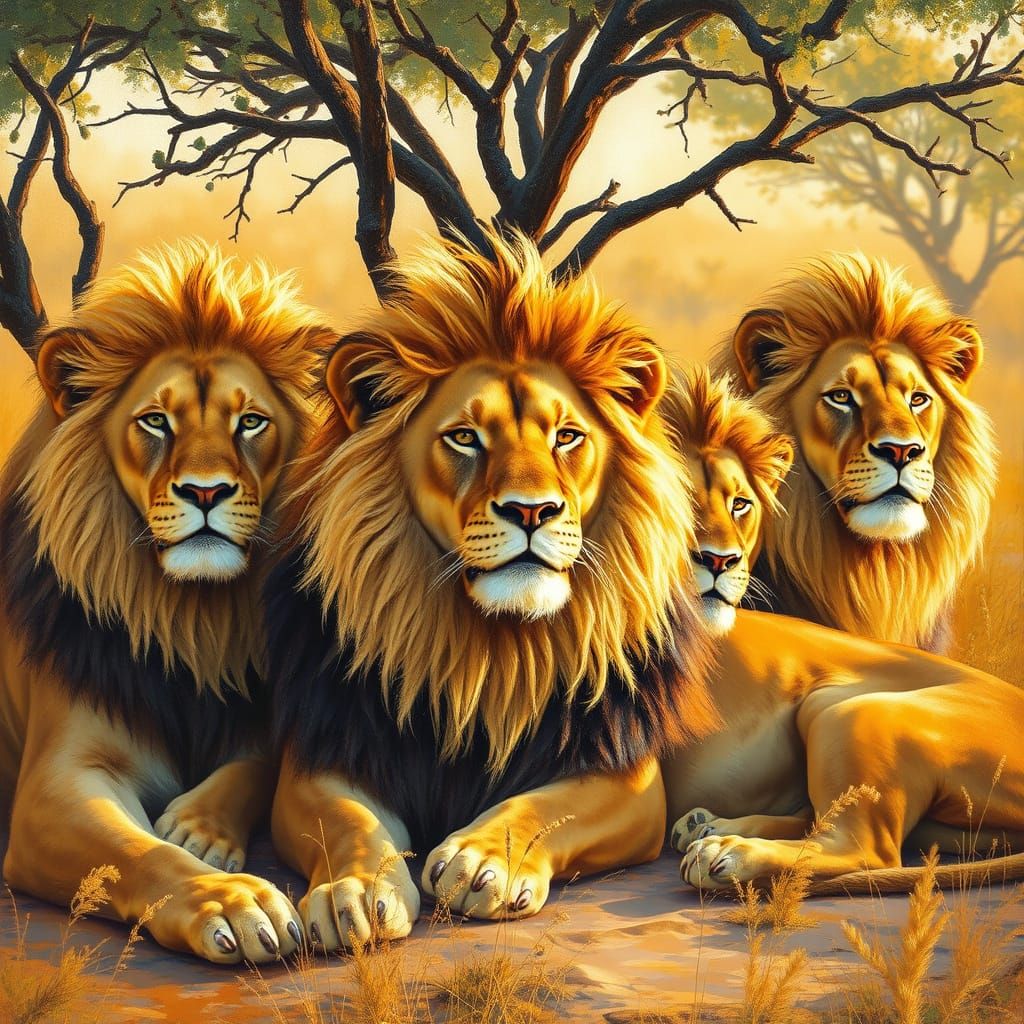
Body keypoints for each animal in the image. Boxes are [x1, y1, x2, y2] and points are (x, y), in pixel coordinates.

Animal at [0, 240, 334, 962]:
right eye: (155, 420)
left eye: (250, 422)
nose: (205, 493)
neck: (188, 618)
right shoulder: (54, 783)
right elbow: (137, 853)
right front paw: (233, 902)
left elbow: (256, 762)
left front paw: (197, 828)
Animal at [267, 230, 716, 949]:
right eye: (464, 438)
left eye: (567, 436)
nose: (532, 511)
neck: (492, 651)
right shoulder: (324, 748)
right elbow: (346, 822)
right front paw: (356, 895)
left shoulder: (627, 774)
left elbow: (546, 804)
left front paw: (483, 863)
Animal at [659, 369, 1024, 894]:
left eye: (740, 506)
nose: (719, 561)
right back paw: (707, 826)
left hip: (845, 709)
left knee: (864, 847)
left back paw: (726, 852)